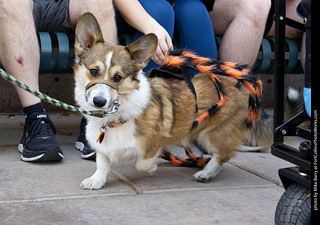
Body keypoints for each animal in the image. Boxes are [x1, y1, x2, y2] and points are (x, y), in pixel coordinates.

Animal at [73, 13, 300, 190]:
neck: (115, 116)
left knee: (225, 154)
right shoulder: (103, 148)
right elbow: (103, 163)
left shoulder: (153, 144)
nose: (99, 101)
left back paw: (206, 172)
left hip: (212, 133)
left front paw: (152, 168)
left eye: (118, 77)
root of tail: (243, 85)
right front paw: (96, 181)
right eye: (94, 71)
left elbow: (141, 163)